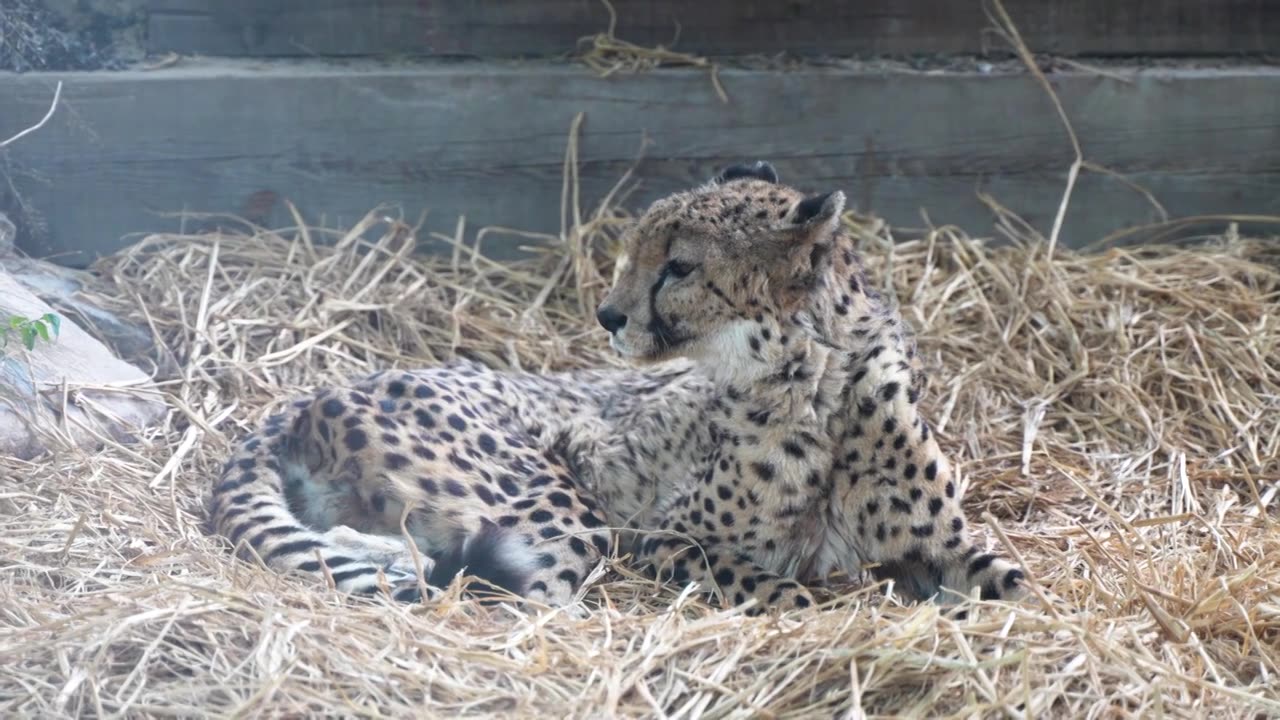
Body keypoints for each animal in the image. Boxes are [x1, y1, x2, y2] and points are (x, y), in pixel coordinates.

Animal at [212, 159, 1029, 607]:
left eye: (679, 266)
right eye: (636, 249)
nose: (607, 315)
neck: (816, 387)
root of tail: (300, 399)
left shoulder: (942, 543)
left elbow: (1020, 585)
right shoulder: (664, 538)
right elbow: (782, 589)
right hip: (562, 507)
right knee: (494, 589)